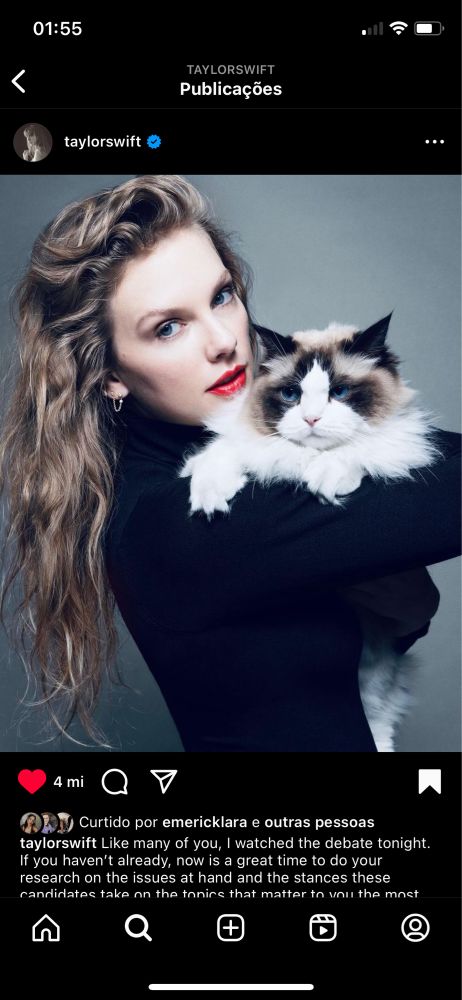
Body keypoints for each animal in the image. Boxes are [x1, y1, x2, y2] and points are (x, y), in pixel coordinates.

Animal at [179, 314, 440, 751]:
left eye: (339, 392)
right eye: (291, 394)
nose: (312, 419)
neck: (302, 459)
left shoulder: (391, 447)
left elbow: (355, 451)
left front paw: (328, 476)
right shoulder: (251, 447)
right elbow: (224, 455)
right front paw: (211, 496)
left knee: (379, 725)